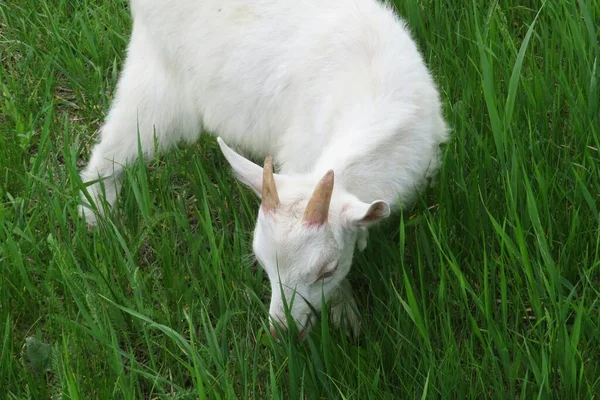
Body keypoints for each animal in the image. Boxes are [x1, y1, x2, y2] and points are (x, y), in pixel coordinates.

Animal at [78, 0, 446, 340]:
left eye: (327, 270)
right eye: (262, 262)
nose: (282, 330)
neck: (373, 92)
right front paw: (347, 318)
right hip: (157, 81)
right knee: (113, 151)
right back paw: (95, 216)